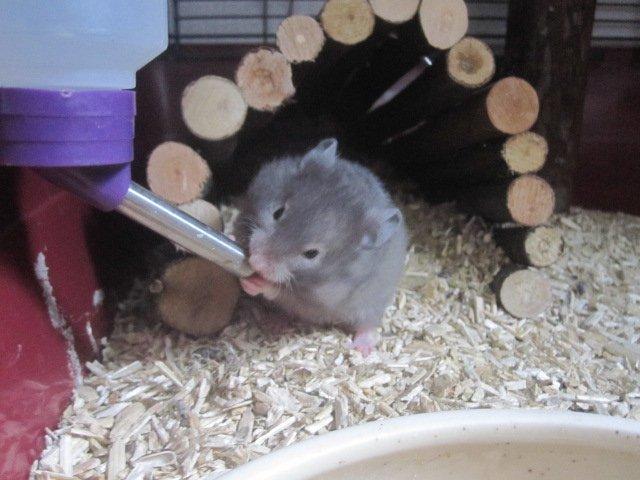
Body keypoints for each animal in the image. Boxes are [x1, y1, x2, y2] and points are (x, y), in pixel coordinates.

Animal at [234, 138, 407, 355]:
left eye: (311, 254)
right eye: (278, 212)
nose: (256, 262)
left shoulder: (322, 298)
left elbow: (281, 291)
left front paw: (254, 283)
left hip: (372, 304)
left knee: (368, 324)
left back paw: (361, 349)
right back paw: (275, 323)